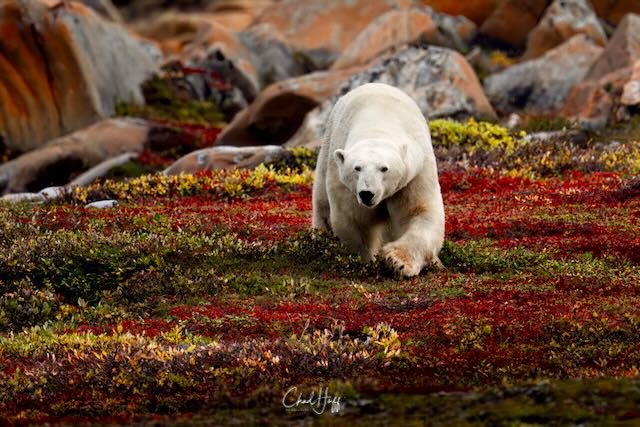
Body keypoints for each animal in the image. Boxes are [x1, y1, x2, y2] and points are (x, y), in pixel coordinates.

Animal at [312, 83, 444, 278]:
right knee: (322, 203)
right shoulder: (346, 187)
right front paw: (367, 262)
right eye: (357, 168)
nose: (367, 194)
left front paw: (397, 261)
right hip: (327, 147)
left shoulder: (415, 174)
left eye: (384, 168)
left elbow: (420, 211)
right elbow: (355, 221)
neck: (378, 122)